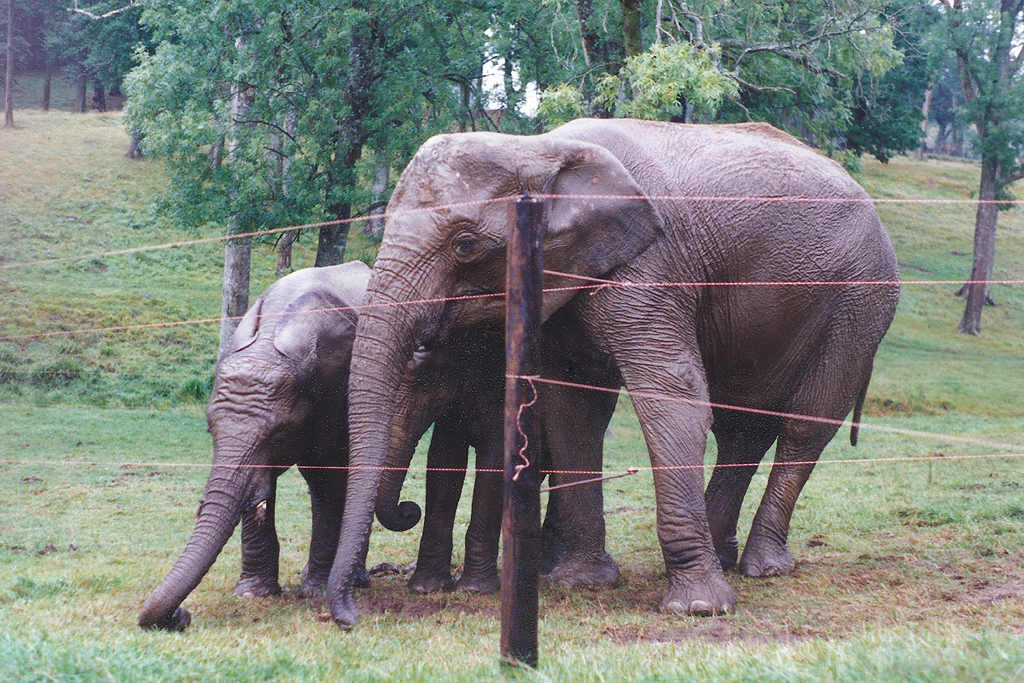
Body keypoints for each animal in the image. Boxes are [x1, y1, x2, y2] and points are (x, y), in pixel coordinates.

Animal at [138, 262, 371, 631]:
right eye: (209, 429)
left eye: (279, 435)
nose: (181, 615)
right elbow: (261, 488)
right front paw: (253, 594)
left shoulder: (340, 391)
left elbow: (334, 480)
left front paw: (315, 593)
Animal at [326, 118, 899, 626]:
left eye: (465, 245)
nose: (351, 616)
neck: (538, 149)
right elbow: (571, 408)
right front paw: (583, 582)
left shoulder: (650, 269)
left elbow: (673, 396)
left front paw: (699, 608)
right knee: (743, 426)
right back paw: (725, 554)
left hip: (860, 298)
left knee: (806, 423)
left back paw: (763, 567)